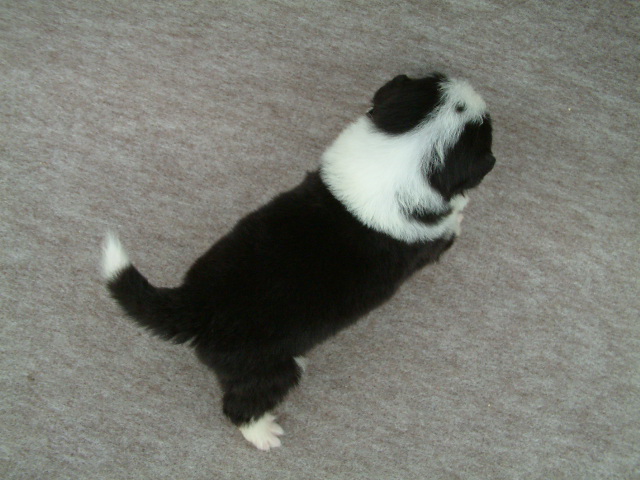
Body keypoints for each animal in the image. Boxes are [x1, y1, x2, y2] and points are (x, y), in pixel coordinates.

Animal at [102, 72, 495, 450]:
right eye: (485, 130)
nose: (476, 91)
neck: (401, 152)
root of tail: (193, 304)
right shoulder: (431, 243)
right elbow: (450, 225)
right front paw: (461, 209)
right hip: (268, 371)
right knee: (240, 406)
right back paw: (264, 434)